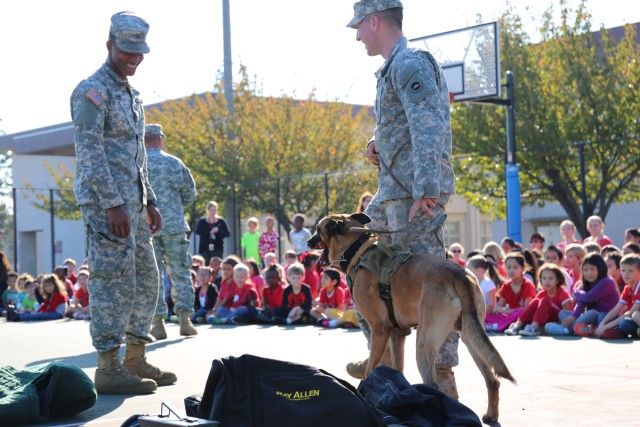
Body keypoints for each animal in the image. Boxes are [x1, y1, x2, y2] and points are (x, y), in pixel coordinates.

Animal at [308, 212, 516, 422]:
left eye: (318, 229)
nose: (309, 241)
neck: (358, 250)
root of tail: (459, 275)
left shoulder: (380, 329)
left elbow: (370, 369)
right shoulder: (397, 334)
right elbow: (397, 369)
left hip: (424, 343)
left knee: (433, 385)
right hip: (471, 338)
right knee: (492, 380)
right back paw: (490, 415)